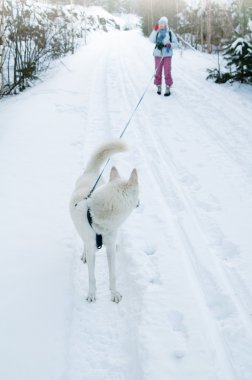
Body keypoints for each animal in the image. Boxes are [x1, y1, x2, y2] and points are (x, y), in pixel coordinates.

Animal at [70, 140, 139, 302]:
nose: (140, 203)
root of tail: (91, 172)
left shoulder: (110, 249)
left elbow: (113, 275)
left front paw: (114, 293)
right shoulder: (92, 249)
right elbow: (91, 277)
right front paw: (91, 294)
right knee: (84, 244)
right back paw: (84, 254)